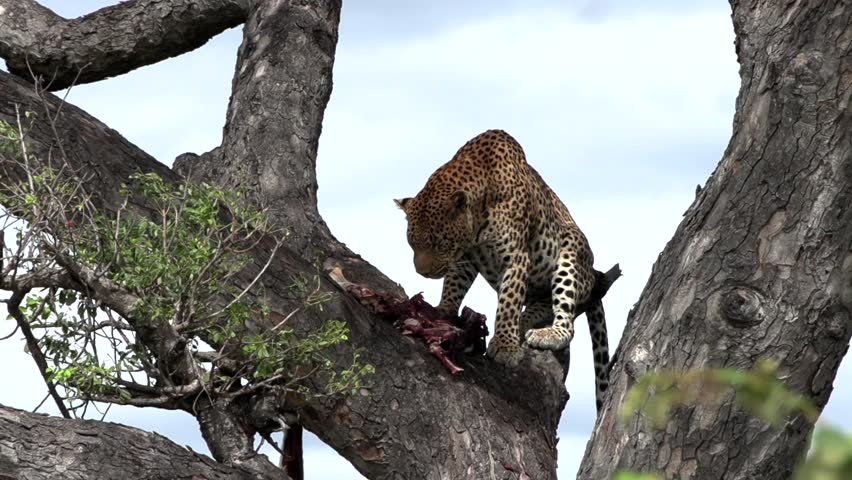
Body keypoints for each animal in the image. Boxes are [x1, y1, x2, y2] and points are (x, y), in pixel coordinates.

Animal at [394, 129, 610, 410]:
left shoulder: (516, 257)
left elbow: (508, 301)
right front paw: (443, 309)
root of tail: (593, 274)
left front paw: (506, 347)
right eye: (412, 243)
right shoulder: (465, 259)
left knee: (564, 314)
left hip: (572, 248)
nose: (423, 273)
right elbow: (454, 284)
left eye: (440, 243)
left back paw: (546, 332)